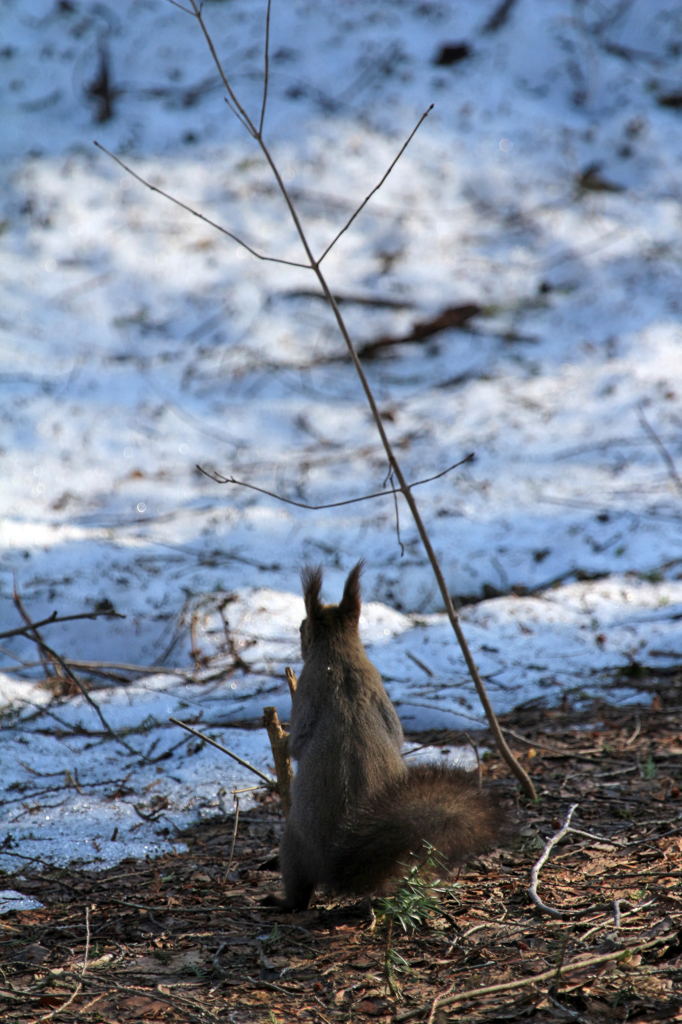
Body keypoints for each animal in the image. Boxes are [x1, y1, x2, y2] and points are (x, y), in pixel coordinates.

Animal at [274, 561, 501, 913]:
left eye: (302, 626)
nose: (300, 635)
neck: (339, 655)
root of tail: (340, 871)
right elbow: (396, 734)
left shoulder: (309, 692)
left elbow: (299, 741)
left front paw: (283, 740)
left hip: (292, 847)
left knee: (299, 892)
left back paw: (282, 901)